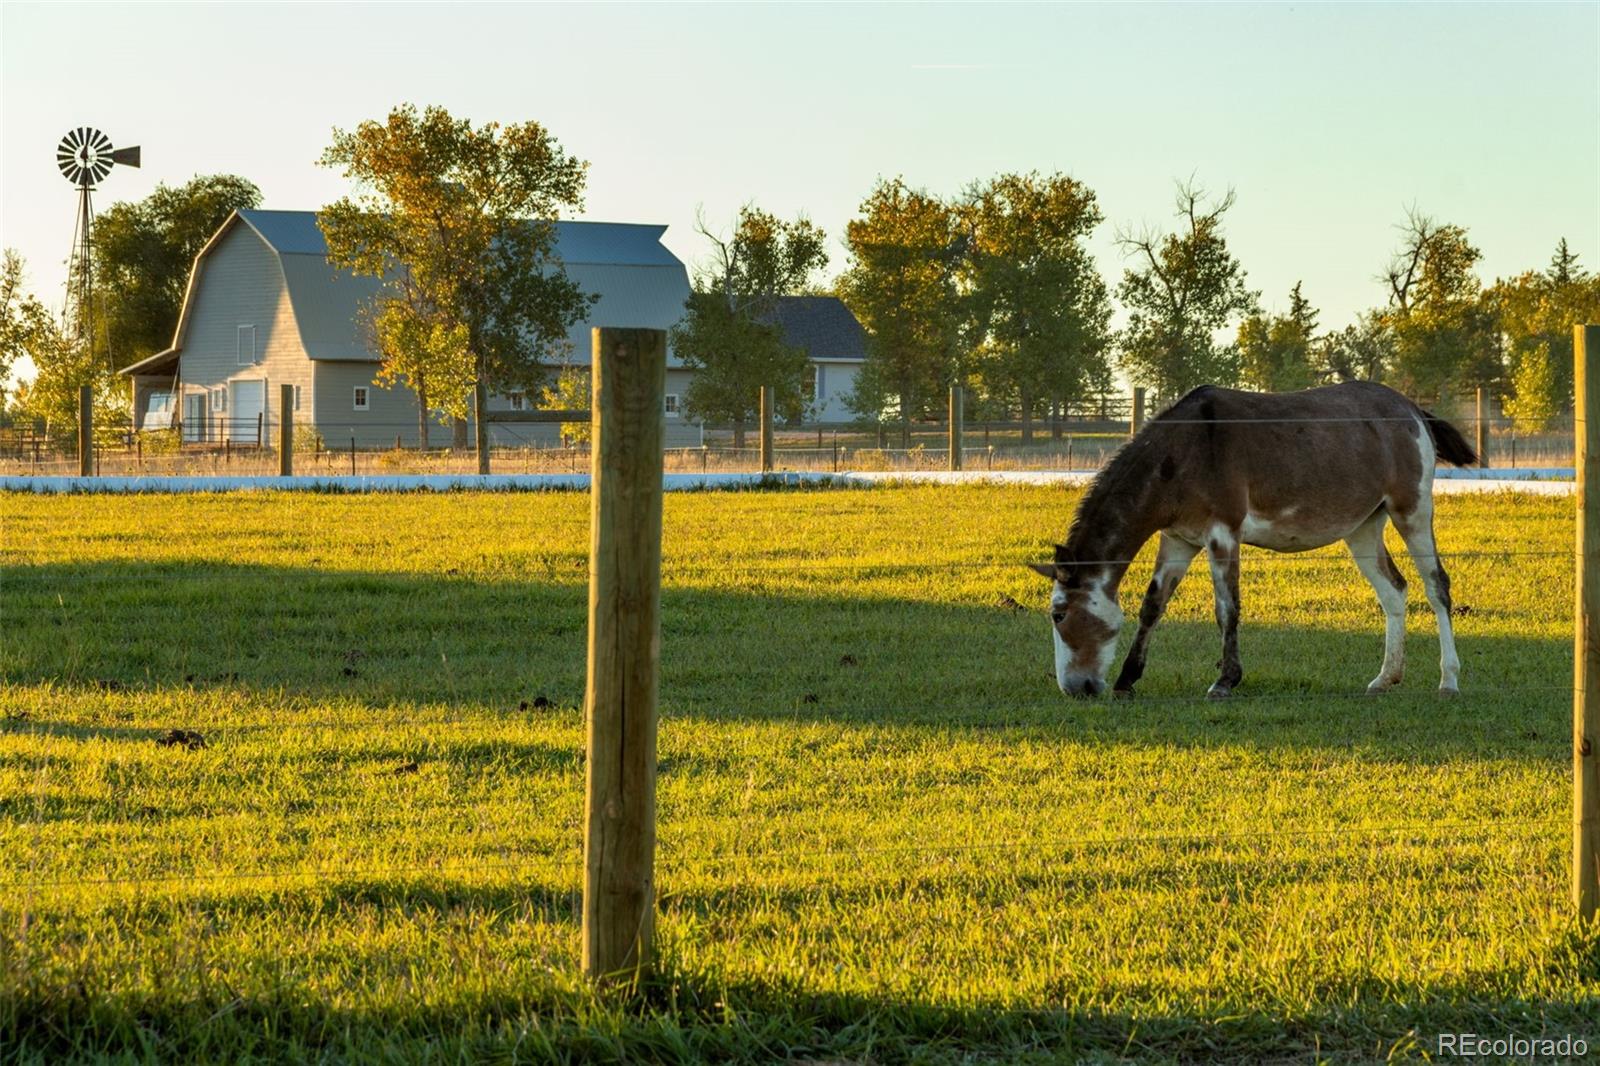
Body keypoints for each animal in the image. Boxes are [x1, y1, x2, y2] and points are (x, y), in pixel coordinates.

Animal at [1036, 382, 1472, 697]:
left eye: (1059, 614)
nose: (1074, 688)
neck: (1185, 450)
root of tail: (1411, 408)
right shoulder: (1178, 540)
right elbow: (1152, 606)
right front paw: (1128, 678)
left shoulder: (1223, 535)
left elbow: (1227, 609)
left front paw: (1225, 681)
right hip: (1363, 529)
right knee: (1394, 592)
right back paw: (1385, 678)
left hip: (1412, 512)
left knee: (1437, 587)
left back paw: (1449, 680)